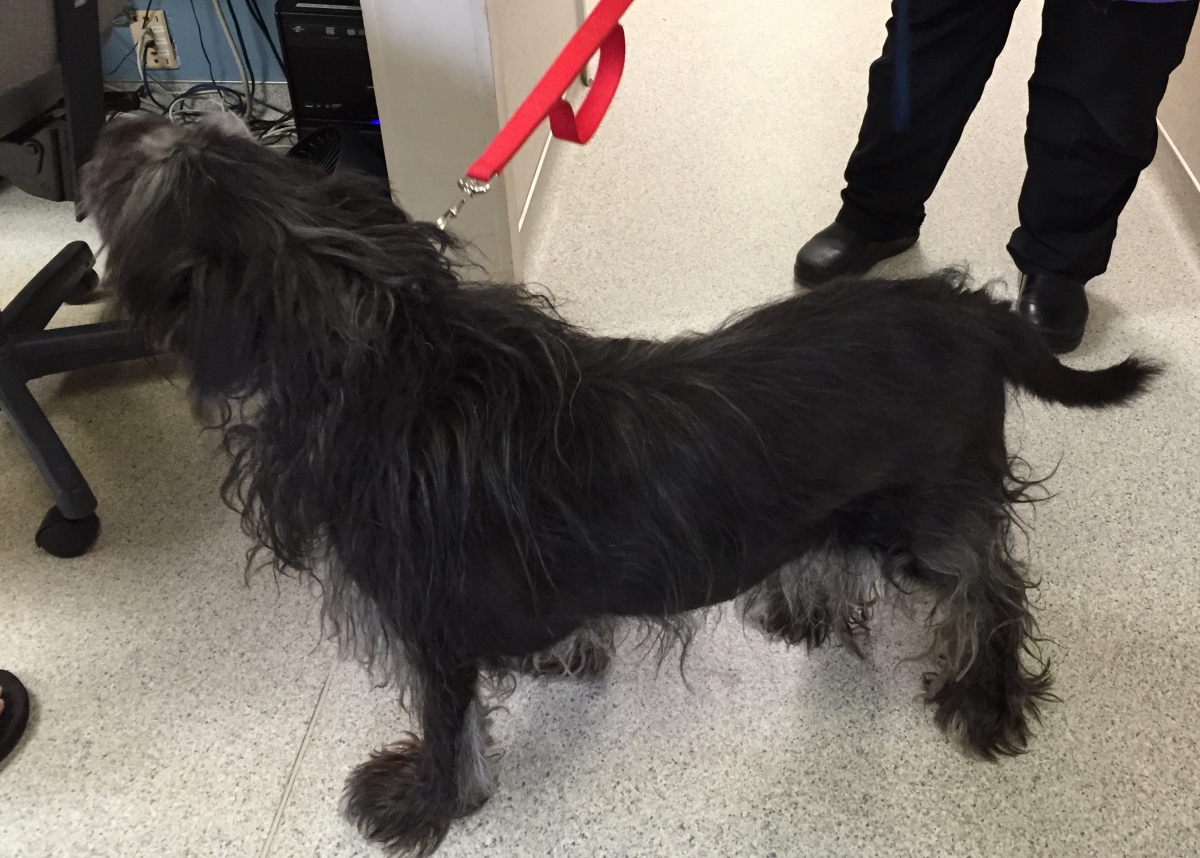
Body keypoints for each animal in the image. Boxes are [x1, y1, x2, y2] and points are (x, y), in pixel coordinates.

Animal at [81, 113, 1157, 856]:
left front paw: (423, 804)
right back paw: (802, 607)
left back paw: (986, 697)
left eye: (147, 175)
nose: (109, 130)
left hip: (930, 511)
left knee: (990, 586)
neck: (381, 357)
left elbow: (446, 728)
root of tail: (972, 312)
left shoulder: (428, 624)